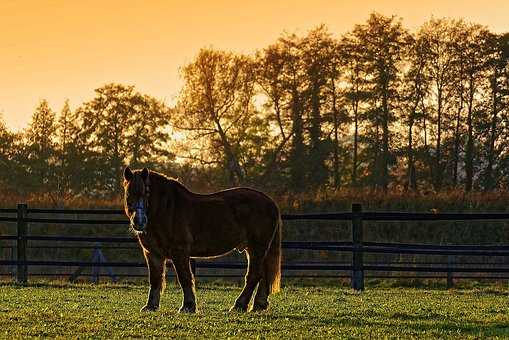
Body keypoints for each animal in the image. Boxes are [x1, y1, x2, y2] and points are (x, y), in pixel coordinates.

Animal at [122, 167, 282, 314]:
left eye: (147, 193)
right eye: (128, 194)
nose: (139, 222)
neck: (166, 210)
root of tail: (270, 202)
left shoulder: (179, 252)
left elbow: (185, 277)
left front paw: (188, 306)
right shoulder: (153, 254)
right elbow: (155, 279)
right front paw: (150, 306)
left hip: (257, 248)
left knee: (254, 275)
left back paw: (239, 305)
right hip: (256, 249)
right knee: (264, 275)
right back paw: (258, 305)